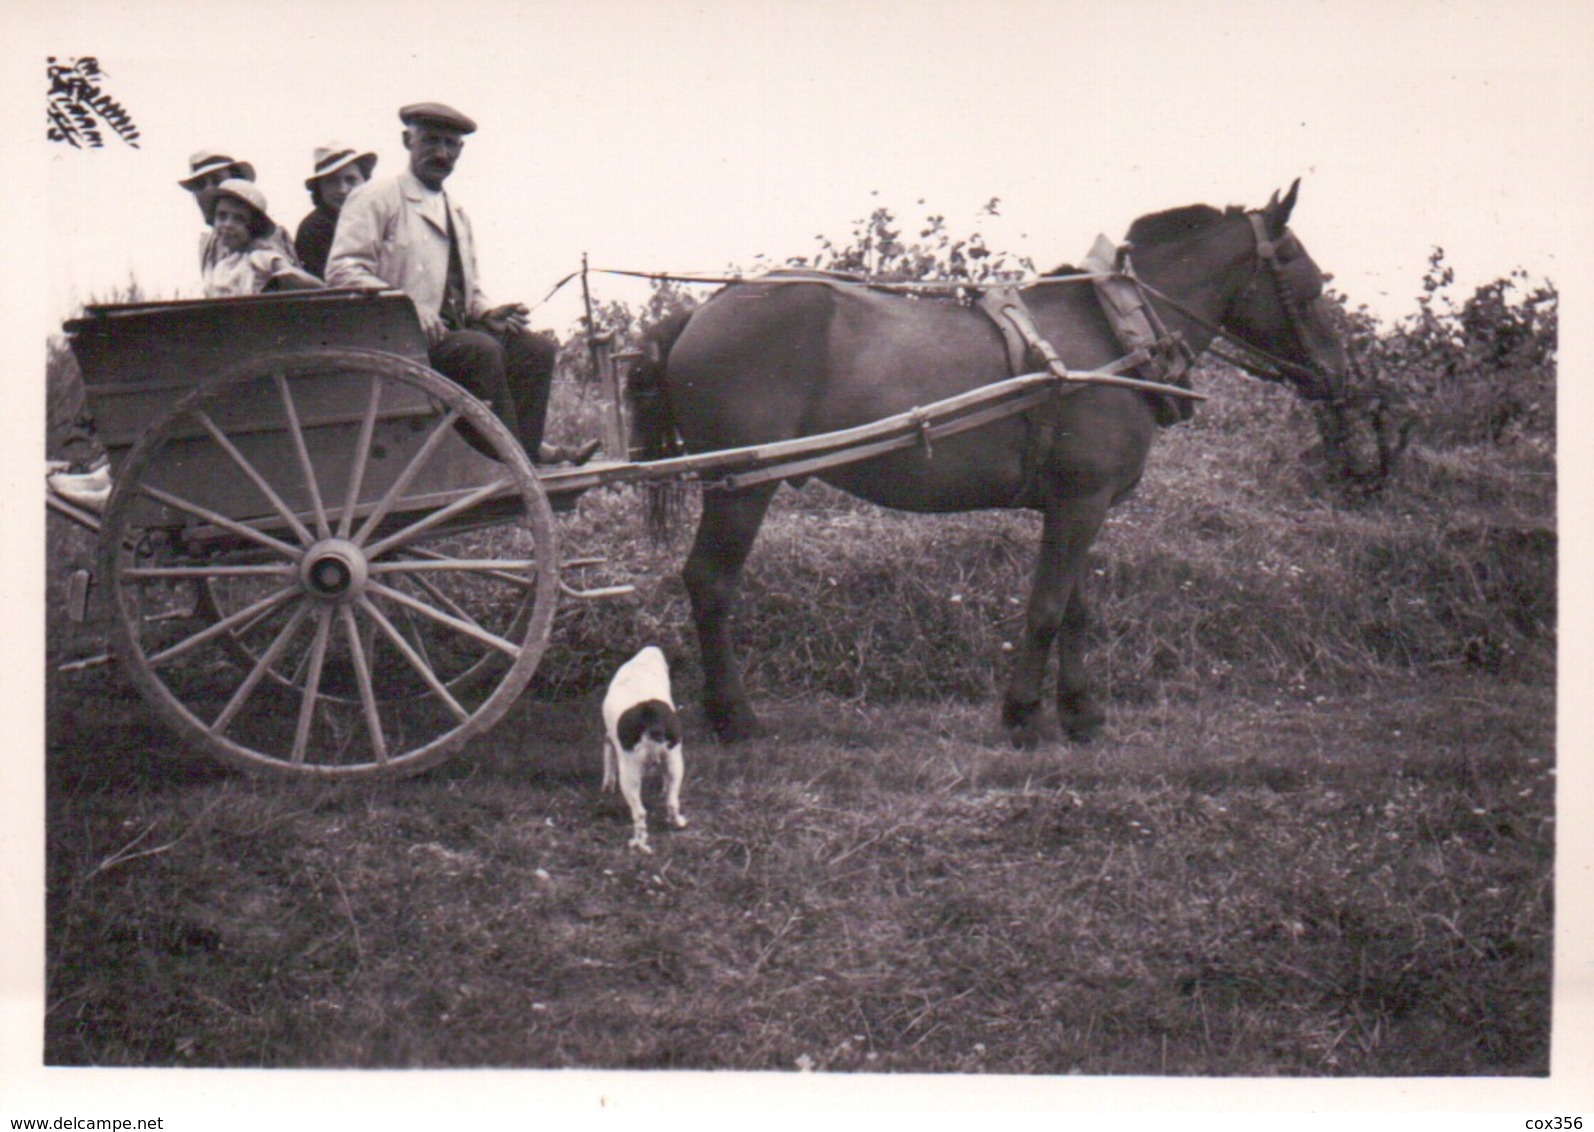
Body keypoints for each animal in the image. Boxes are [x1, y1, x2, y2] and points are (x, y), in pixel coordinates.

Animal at [599, 647, 688, 854]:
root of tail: (650, 715)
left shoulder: (609, 740)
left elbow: (608, 763)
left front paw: (607, 786)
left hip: (629, 774)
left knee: (639, 813)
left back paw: (637, 842)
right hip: (675, 761)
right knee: (672, 800)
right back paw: (677, 822)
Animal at [628, 181, 1351, 749]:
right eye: (1311, 284)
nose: (1338, 377)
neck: (1114, 333)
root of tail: (695, 314)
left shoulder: (1075, 505)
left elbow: (1075, 610)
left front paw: (1080, 713)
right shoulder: (1081, 502)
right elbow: (1047, 609)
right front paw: (1024, 715)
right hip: (740, 489)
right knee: (711, 584)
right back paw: (735, 717)